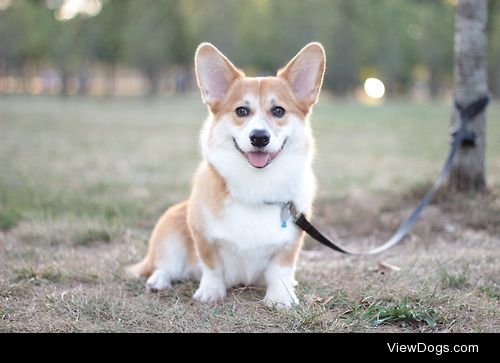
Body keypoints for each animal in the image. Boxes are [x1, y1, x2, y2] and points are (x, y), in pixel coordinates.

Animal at [127, 42, 326, 310]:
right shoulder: (204, 238)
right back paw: (159, 281)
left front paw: (280, 297)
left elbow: (280, 270)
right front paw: (211, 292)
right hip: (170, 232)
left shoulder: (290, 242)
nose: (259, 137)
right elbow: (212, 268)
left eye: (278, 110)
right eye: (241, 110)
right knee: (165, 266)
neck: (257, 186)